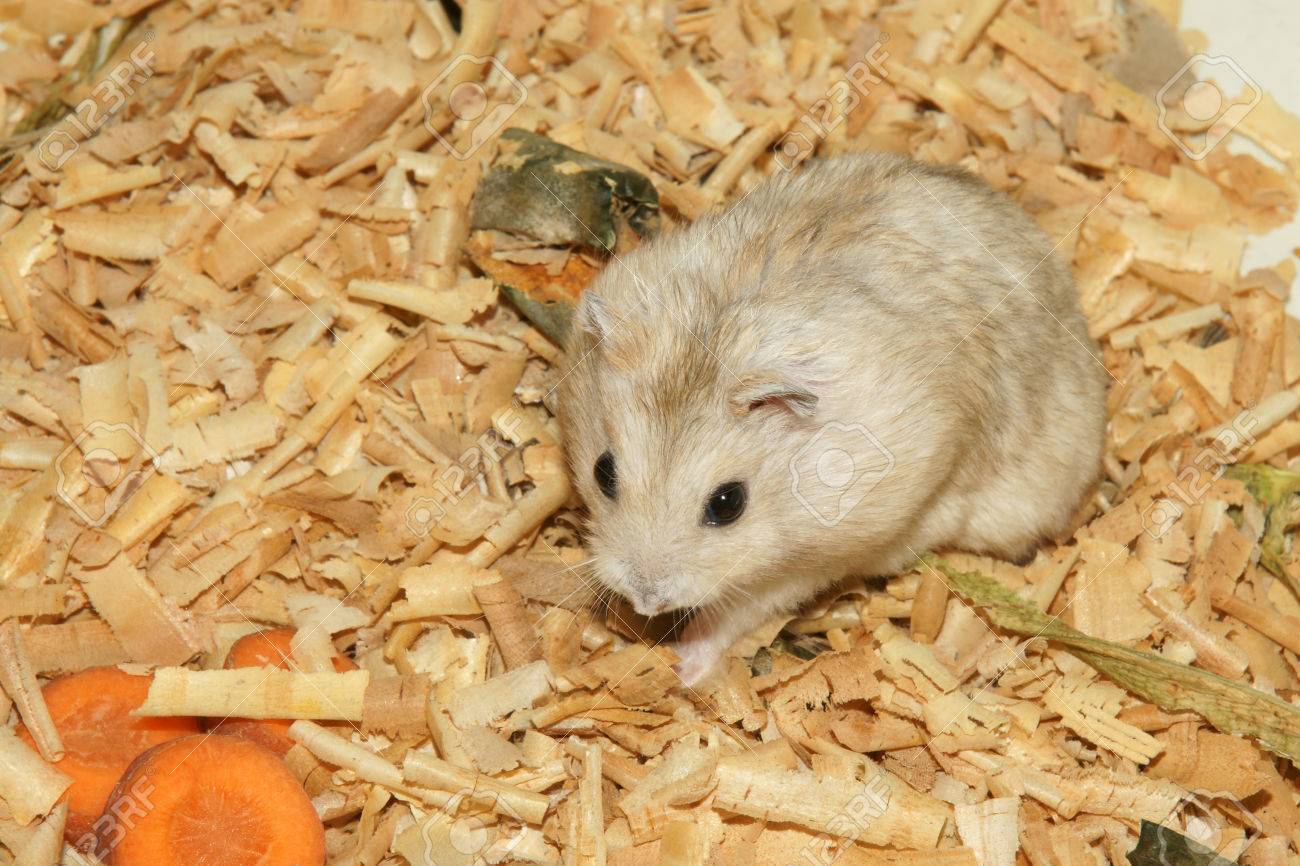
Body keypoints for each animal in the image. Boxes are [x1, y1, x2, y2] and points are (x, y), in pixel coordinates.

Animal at [556, 153, 1107, 686]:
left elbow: (742, 608)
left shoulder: (829, 551)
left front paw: (681, 666)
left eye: (728, 504)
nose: (646, 600)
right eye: (603, 473)